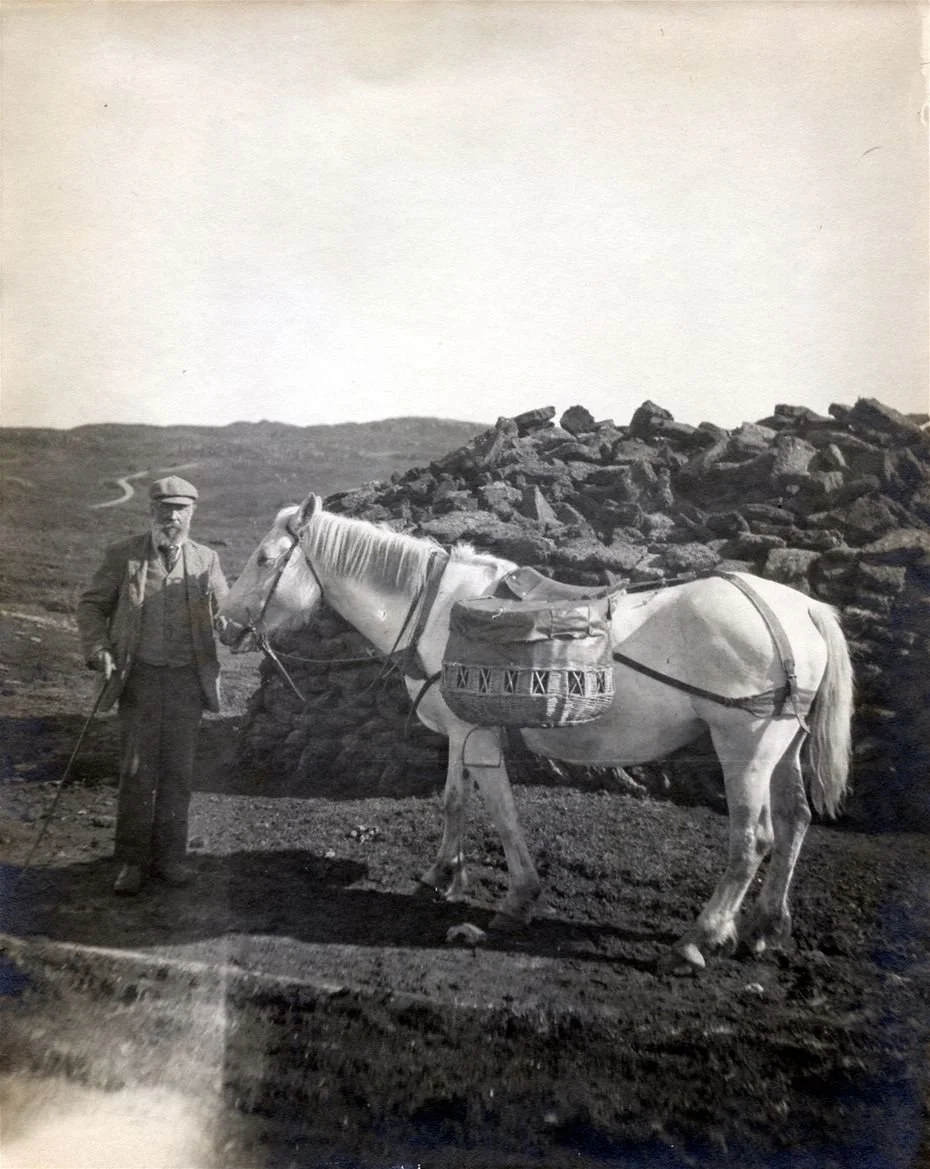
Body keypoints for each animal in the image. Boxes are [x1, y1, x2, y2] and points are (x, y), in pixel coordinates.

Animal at [219, 493, 854, 973]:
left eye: (265, 558)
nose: (225, 625)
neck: (440, 609)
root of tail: (801, 608)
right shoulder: (457, 731)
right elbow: (453, 802)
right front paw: (441, 875)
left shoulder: (477, 733)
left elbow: (500, 812)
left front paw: (517, 900)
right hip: (783, 748)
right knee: (794, 822)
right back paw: (766, 928)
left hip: (744, 747)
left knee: (752, 841)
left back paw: (699, 938)